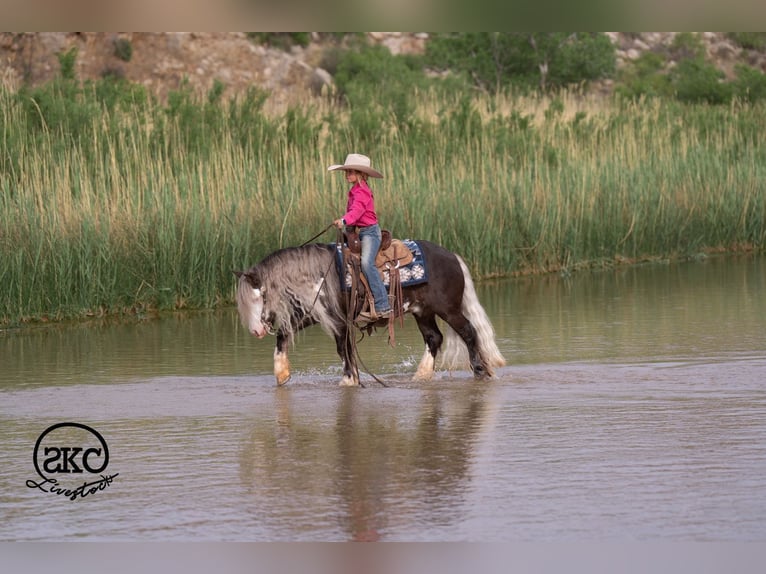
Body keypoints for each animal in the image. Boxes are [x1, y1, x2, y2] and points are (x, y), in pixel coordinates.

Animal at [234, 240, 505, 386]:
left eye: (259, 295)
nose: (256, 331)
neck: (319, 274)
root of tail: (453, 257)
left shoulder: (339, 320)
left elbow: (344, 349)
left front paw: (348, 381)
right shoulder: (315, 313)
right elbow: (283, 334)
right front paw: (281, 374)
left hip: (448, 309)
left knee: (468, 332)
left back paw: (480, 371)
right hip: (422, 312)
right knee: (434, 338)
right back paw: (421, 376)